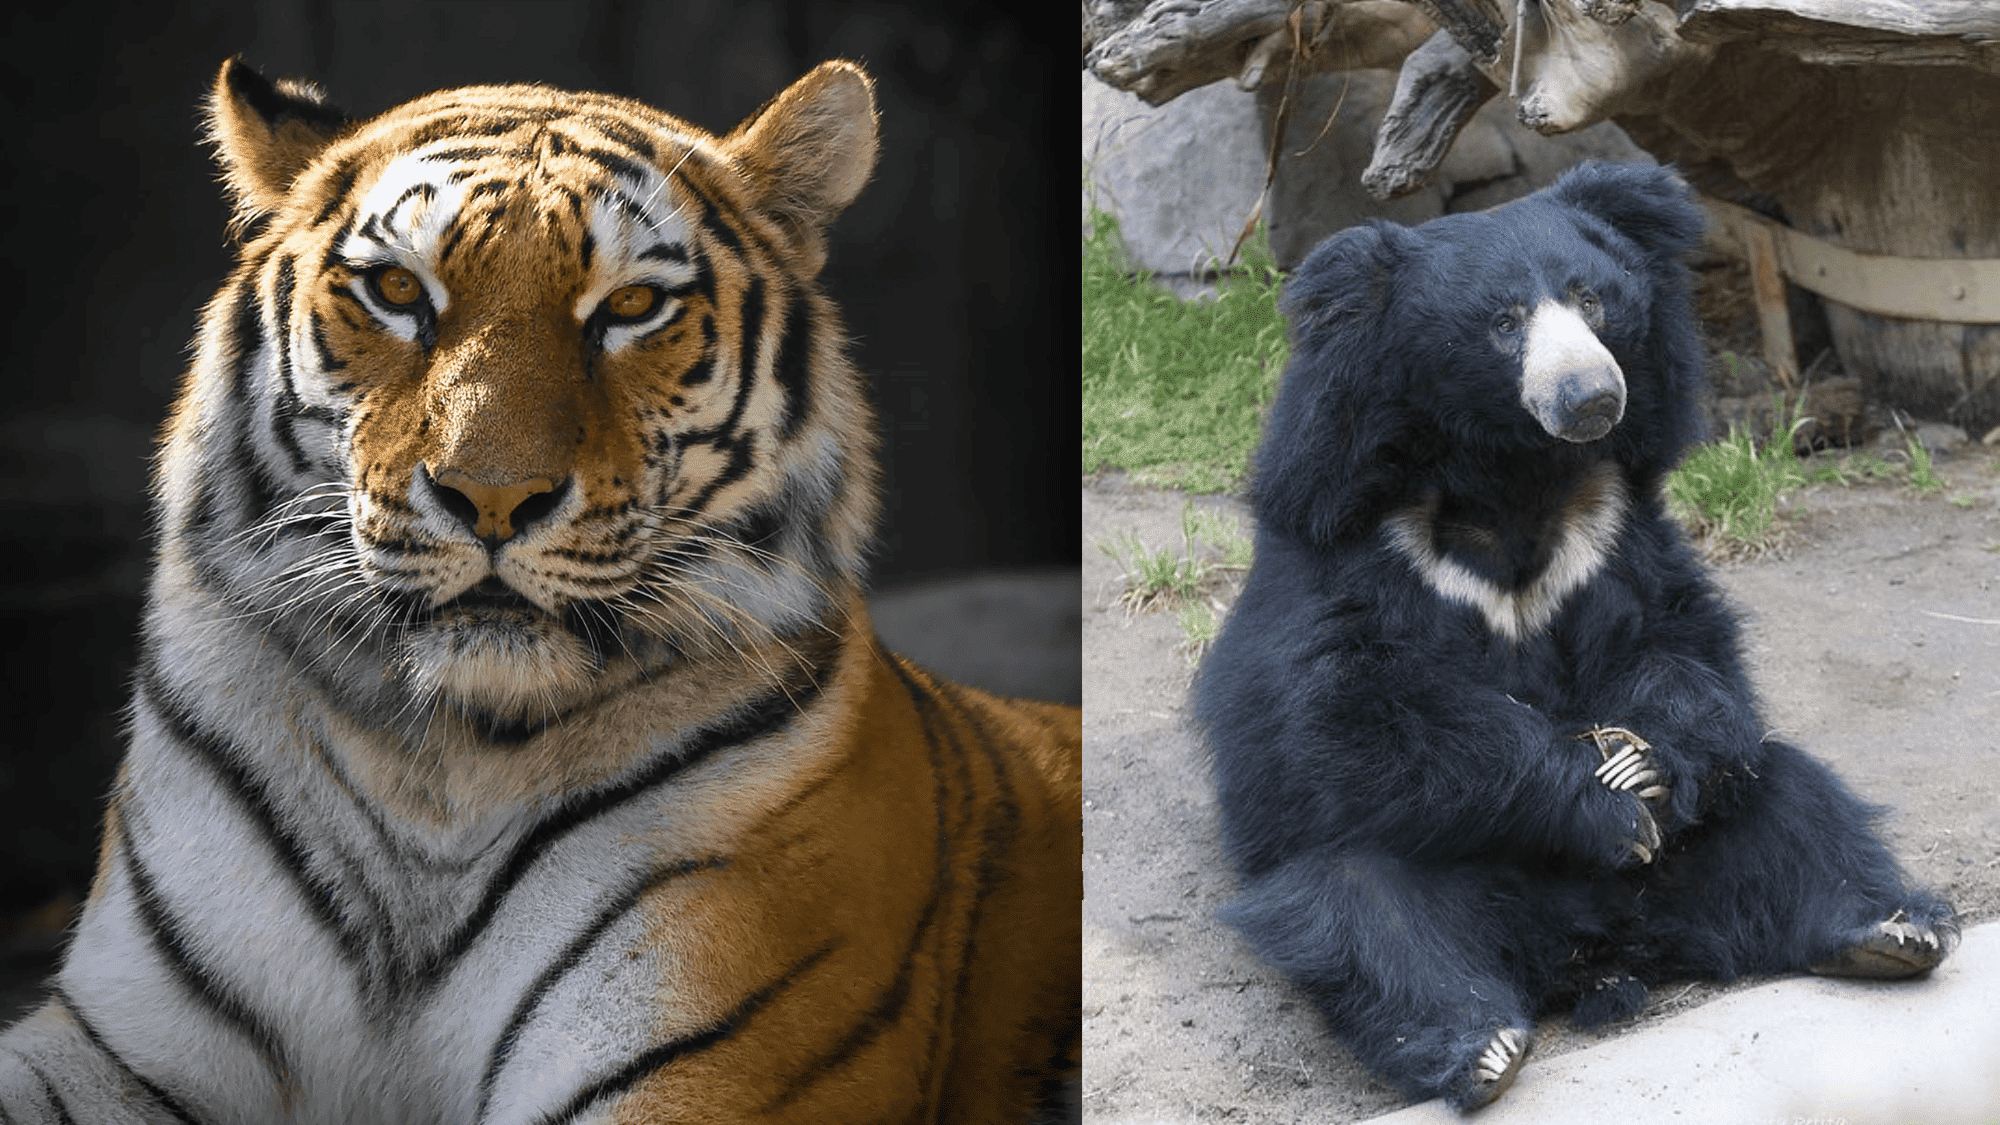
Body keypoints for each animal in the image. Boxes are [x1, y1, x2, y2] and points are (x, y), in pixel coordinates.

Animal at [0, 57, 1080, 1125]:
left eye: (632, 308)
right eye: (397, 289)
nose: (491, 497)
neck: (435, 768)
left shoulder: (696, 1053)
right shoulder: (114, 1043)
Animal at [1192, 161, 1955, 1112]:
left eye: (1590, 298)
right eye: (1503, 320)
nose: (1592, 396)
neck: (1514, 475)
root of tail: (1598, 953)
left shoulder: (1613, 527)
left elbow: (1677, 643)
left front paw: (1643, 765)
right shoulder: (1352, 543)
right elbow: (1353, 713)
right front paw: (1607, 802)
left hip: (1708, 848)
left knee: (1790, 796)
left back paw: (1888, 931)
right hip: (1411, 885)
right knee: (1363, 907)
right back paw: (1486, 1046)